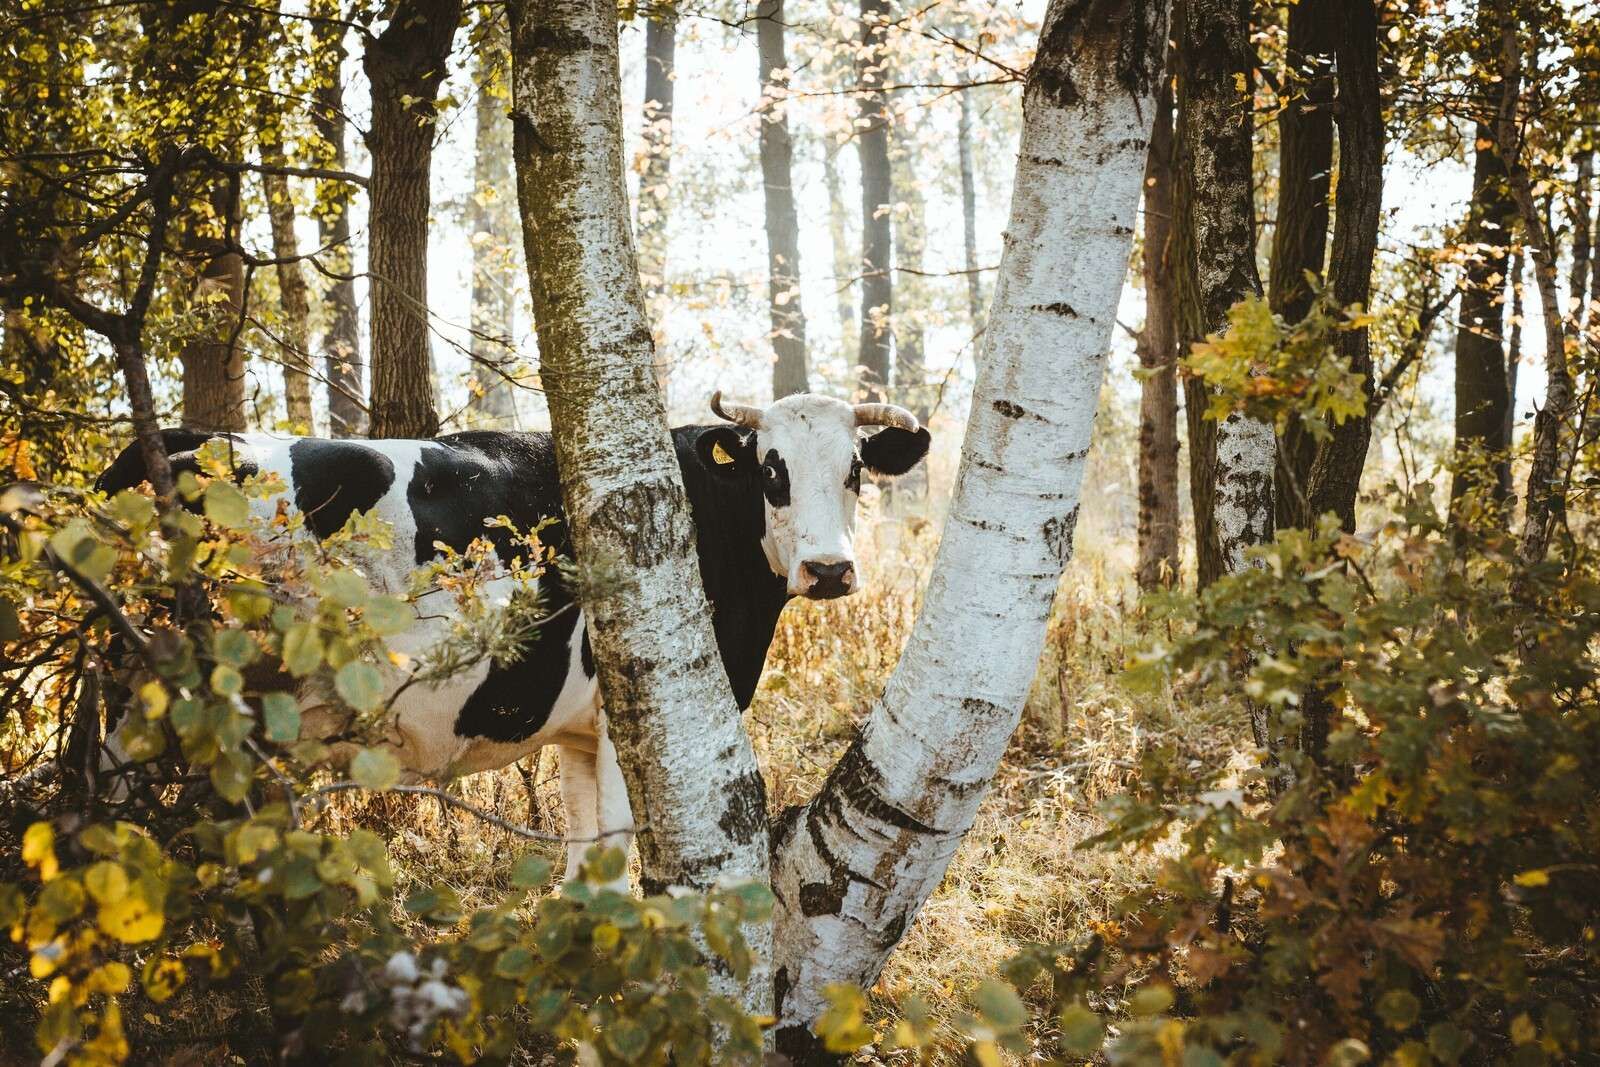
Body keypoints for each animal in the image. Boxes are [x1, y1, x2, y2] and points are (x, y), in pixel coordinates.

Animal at [97, 392, 931, 881]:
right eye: (771, 470)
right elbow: (614, 852)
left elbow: (582, 856)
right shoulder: (629, 717)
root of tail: (186, 435)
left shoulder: (577, 731)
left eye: (856, 469)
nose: (830, 569)